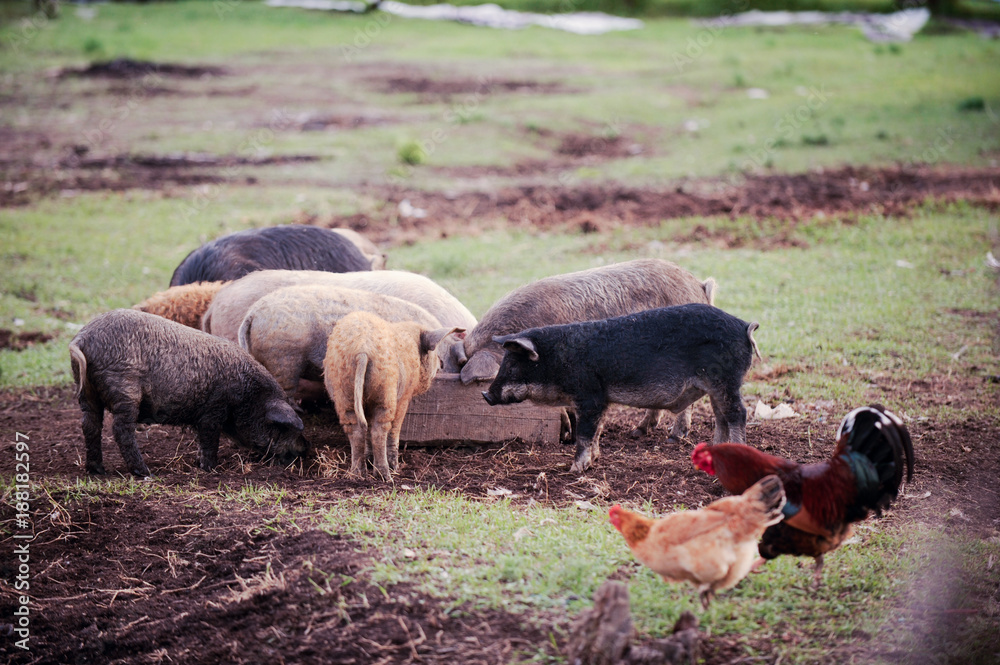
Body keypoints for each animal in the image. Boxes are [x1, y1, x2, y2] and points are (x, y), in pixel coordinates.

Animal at [69, 309, 307, 478]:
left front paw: (199, 464)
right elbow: (210, 439)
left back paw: (97, 470)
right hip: (124, 389)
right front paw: (211, 469)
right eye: (283, 427)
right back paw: (146, 473)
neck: (246, 396)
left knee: (89, 425)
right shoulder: (214, 409)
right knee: (120, 429)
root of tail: (82, 339)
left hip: (87, 392)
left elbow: (202, 441)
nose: (306, 448)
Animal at [324, 310, 462, 479]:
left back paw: (357, 474)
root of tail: (362, 349)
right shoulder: (404, 396)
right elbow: (395, 429)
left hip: (344, 392)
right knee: (380, 430)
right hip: (385, 390)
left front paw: (370, 460)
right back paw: (387, 475)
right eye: (434, 353)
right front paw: (395, 466)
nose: (441, 363)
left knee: (356, 430)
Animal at [481, 303, 761, 474]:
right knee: (721, 417)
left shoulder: (590, 396)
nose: (486, 394)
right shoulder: (601, 401)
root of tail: (744, 326)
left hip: (725, 381)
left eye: (513, 366)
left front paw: (574, 470)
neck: (560, 360)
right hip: (717, 387)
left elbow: (585, 434)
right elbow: (596, 432)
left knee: (737, 414)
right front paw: (593, 462)